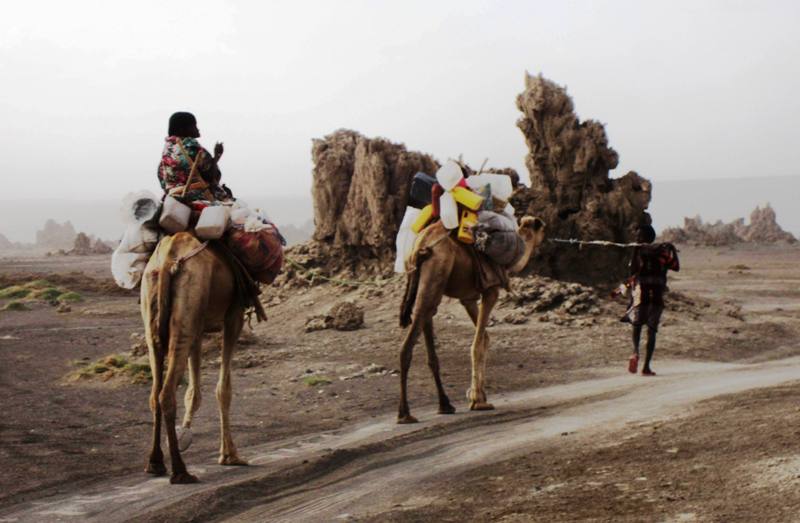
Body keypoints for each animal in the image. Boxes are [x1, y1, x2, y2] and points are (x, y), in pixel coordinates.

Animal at [140, 231, 247, 486]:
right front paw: (230, 455)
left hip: (154, 316)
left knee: (154, 394)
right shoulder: (234, 315)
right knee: (166, 394)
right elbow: (223, 389)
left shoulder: (198, 327)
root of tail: (168, 261)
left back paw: (155, 463)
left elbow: (194, 390)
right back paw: (181, 471)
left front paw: (186, 432)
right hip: (188, 303)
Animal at [398, 217, 548, 426]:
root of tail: (419, 247)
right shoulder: (491, 290)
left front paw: (478, 395)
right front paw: (478, 401)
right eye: (542, 230)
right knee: (409, 342)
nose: (544, 246)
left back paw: (445, 405)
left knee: (426, 319)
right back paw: (405, 414)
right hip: (436, 273)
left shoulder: (468, 299)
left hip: (428, 284)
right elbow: (477, 343)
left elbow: (485, 338)